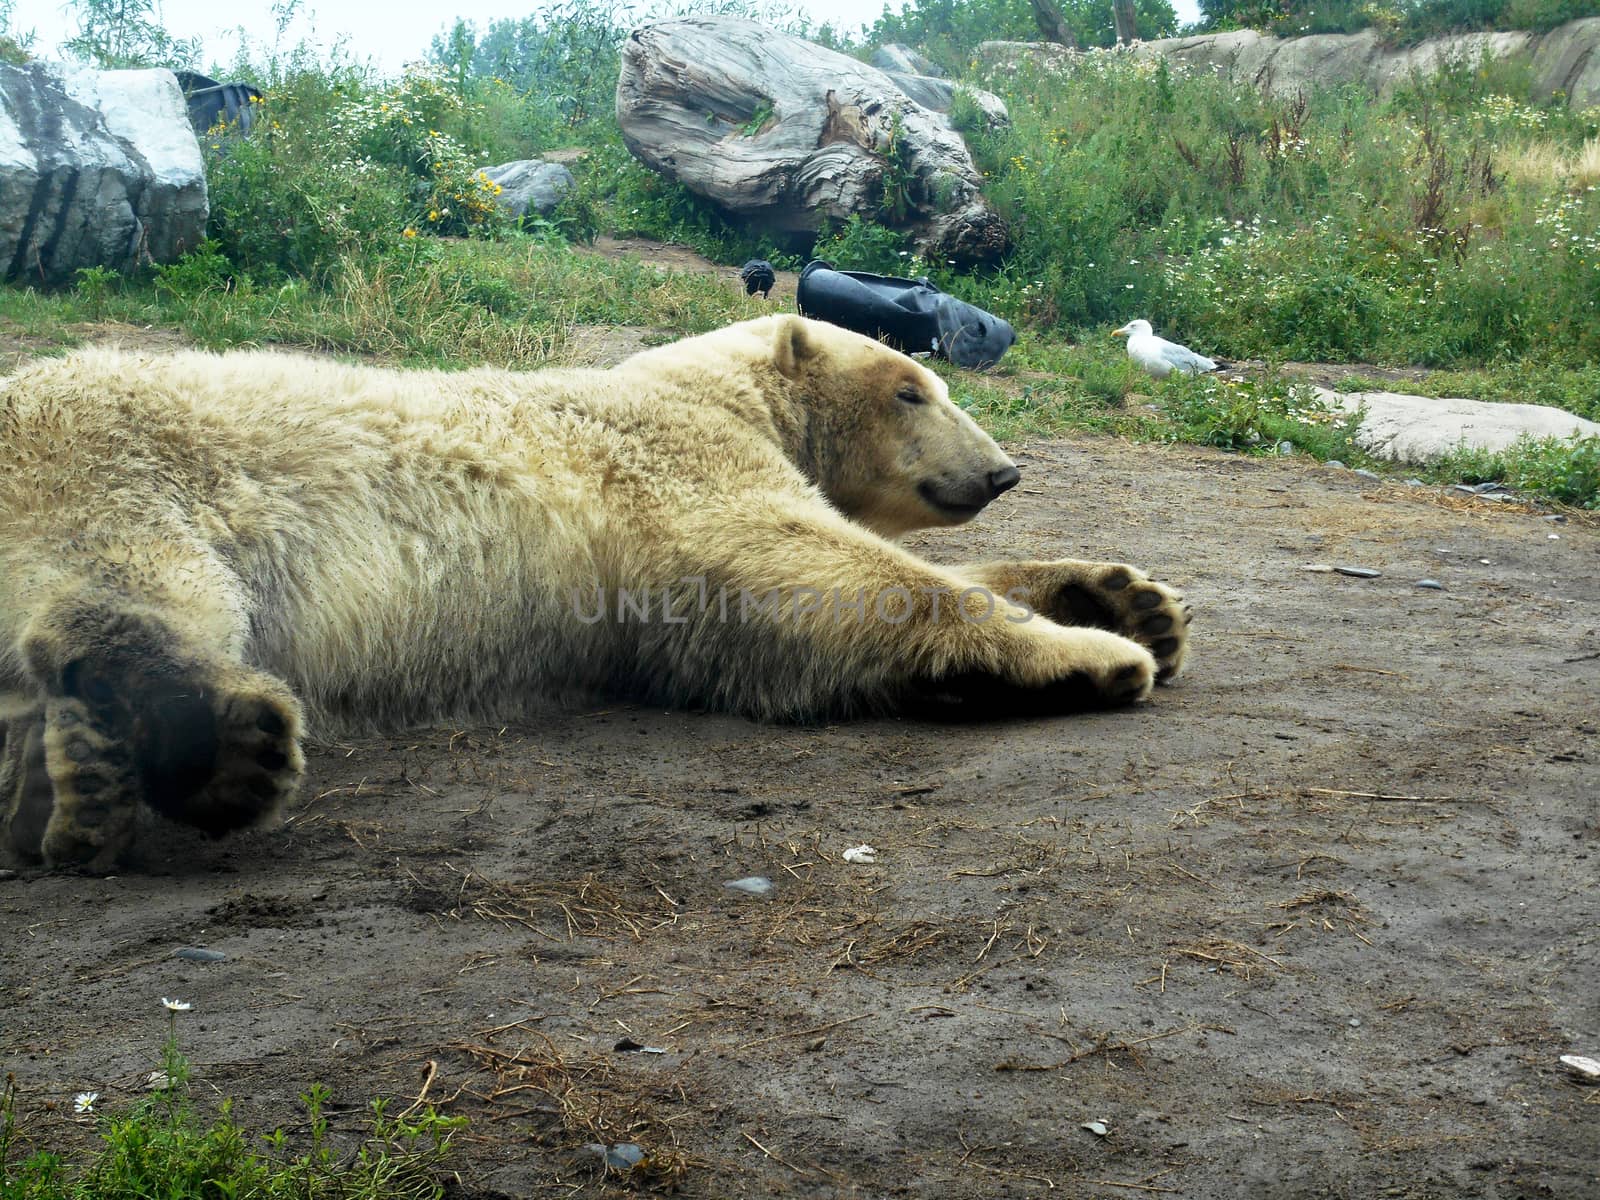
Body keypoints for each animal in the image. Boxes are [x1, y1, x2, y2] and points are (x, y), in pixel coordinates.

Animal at [0, 315, 1190, 870]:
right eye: (911, 389)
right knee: (137, 590)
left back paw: (83, 796)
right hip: (114, 460)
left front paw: (1132, 600)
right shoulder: (675, 468)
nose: (1003, 471)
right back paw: (216, 748)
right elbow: (805, 562)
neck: (708, 389)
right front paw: (1097, 658)